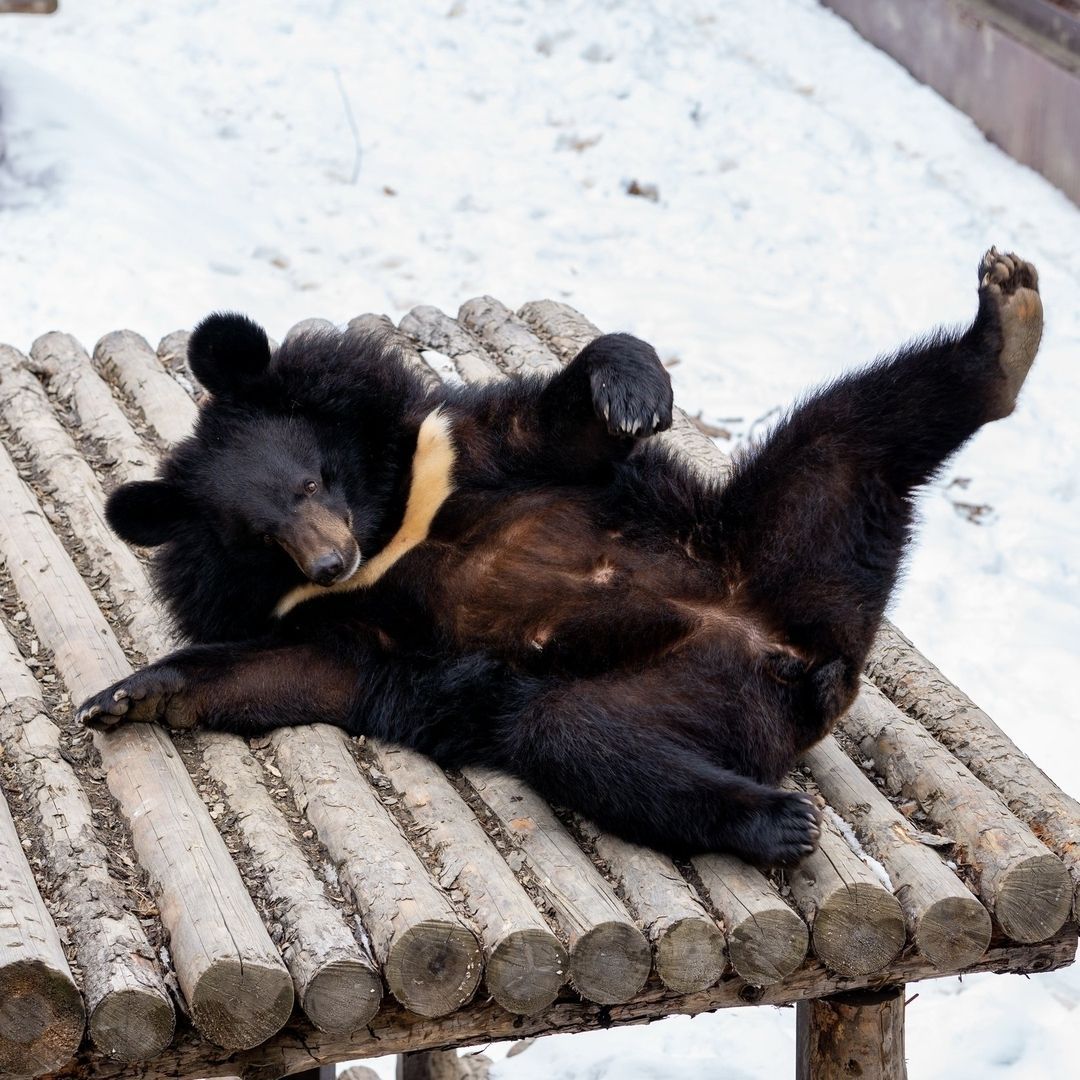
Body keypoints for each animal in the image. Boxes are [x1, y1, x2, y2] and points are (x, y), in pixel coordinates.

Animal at [79, 248, 1041, 864]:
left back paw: (1008, 319)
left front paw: (632, 391)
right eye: (260, 536)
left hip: (774, 533)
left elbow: (564, 427)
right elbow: (284, 671)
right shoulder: (336, 628)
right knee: (588, 743)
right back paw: (777, 822)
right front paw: (122, 699)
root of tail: (806, 661)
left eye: (314, 480)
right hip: (685, 689)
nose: (330, 563)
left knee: (852, 429)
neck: (388, 525)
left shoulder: (451, 452)